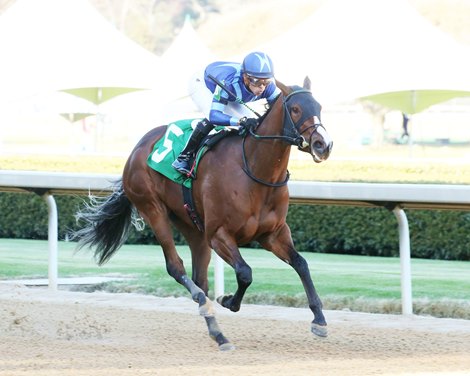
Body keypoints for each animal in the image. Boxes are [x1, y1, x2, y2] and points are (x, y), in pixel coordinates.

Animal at [73, 78, 332, 352]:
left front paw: (319, 320)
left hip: (192, 226)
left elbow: (301, 264)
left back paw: (218, 332)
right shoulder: (219, 235)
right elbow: (245, 273)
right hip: (153, 208)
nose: (323, 144)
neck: (254, 170)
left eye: (318, 106)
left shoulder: (273, 234)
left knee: (200, 278)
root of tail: (137, 149)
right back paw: (207, 309)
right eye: (295, 109)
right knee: (177, 268)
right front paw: (227, 299)